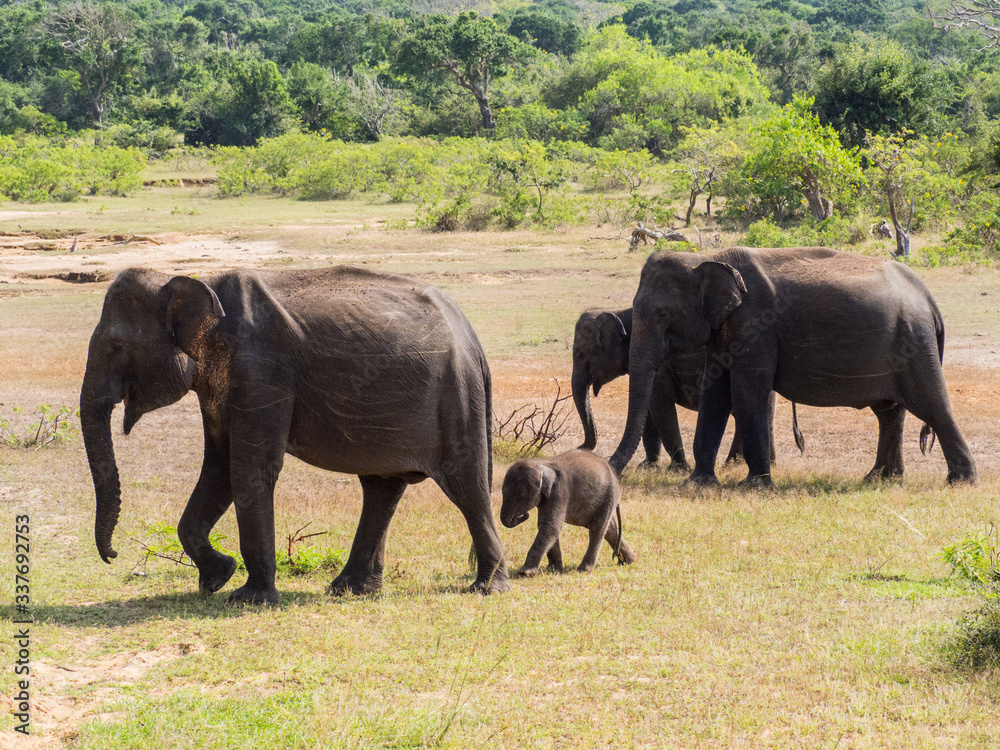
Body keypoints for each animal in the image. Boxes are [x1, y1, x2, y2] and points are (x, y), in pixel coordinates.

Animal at [82, 266, 512, 604]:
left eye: (116, 346)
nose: (112, 555)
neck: (197, 281)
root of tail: (472, 338)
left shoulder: (261, 371)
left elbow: (250, 468)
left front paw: (249, 599)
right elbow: (219, 467)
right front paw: (217, 577)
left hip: (457, 398)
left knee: (465, 486)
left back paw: (487, 588)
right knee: (382, 488)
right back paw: (350, 589)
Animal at [498, 450, 632, 580]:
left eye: (520, 497)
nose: (525, 515)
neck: (541, 464)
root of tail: (614, 476)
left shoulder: (560, 492)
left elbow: (551, 526)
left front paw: (525, 573)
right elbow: (545, 525)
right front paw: (553, 570)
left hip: (608, 495)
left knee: (597, 528)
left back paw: (584, 569)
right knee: (610, 529)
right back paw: (627, 562)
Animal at [572, 308, 780, 472]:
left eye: (579, 355)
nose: (580, 446)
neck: (619, 313)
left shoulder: (660, 368)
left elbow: (660, 407)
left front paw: (679, 469)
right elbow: (648, 411)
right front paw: (647, 466)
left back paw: (731, 464)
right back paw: (767, 464)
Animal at [608, 247, 976, 488]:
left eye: (663, 315)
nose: (611, 468)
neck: (705, 256)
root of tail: (928, 298)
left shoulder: (756, 326)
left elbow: (747, 392)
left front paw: (755, 487)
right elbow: (716, 393)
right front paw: (698, 484)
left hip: (915, 342)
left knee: (933, 405)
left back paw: (961, 481)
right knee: (889, 412)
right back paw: (880, 479)